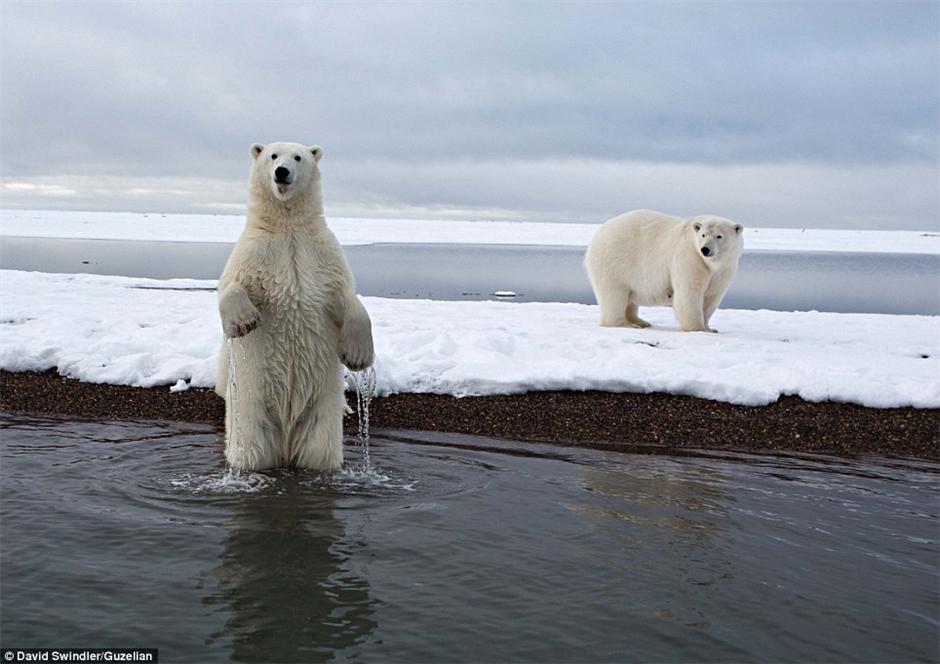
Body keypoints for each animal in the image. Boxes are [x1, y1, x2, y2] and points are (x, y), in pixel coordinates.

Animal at [215, 141, 372, 472]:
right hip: (251, 415)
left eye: (298, 157)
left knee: (319, 452)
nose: (282, 172)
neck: (287, 228)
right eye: (272, 155)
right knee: (249, 450)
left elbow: (346, 296)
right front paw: (244, 321)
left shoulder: (321, 253)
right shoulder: (256, 251)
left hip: (319, 418)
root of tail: (285, 444)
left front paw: (358, 355)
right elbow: (231, 283)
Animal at [588, 209, 740, 332]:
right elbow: (689, 292)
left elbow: (711, 296)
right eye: (703, 235)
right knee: (614, 294)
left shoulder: (724, 269)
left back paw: (640, 321)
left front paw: (710, 328)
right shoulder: (690, 258)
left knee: (629, 298)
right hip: (613, 263)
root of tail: (598, 234)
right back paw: (625, 324)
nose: (705, 249)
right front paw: (697, 329)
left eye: (719, 236)